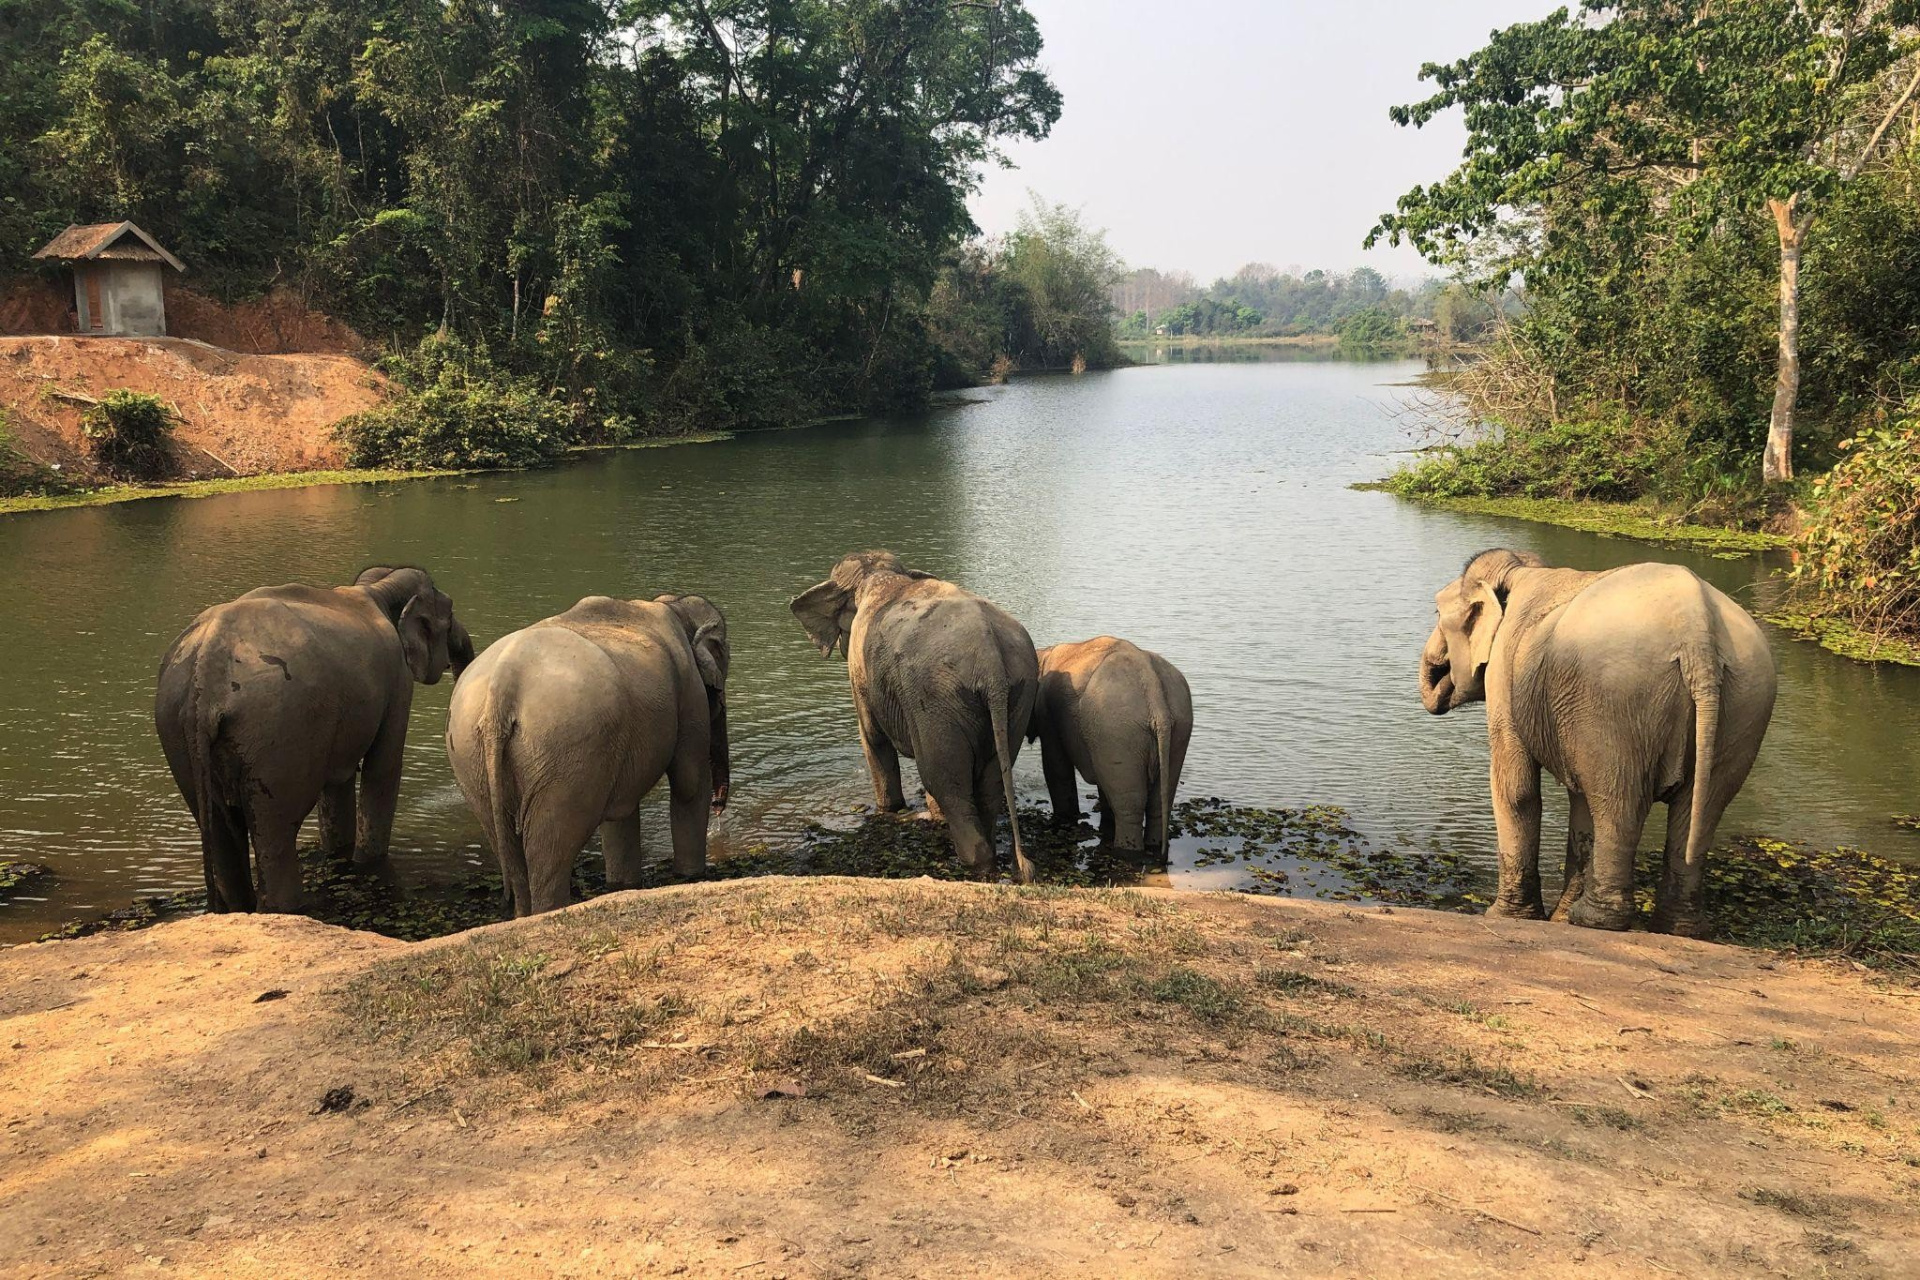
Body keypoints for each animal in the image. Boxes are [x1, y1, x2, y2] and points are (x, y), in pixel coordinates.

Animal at [154, 566, 473, 914]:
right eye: (450, 615)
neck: (378, 587)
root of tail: (205, 673)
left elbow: (339, 781)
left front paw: (340, 853)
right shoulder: (398, 679)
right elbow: (383, 768)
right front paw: (367, 863)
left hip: (179, 733)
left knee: (223, 832)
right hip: (277, 733)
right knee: (277, 829)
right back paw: (289, 909)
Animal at [445, 593, 729, 917]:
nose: (719, 810)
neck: (670, 603)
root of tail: (502, 689)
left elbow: (622, 811)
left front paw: (623, 885)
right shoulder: (689, 690)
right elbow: (689, 784)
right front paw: (691, 876)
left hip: (471, 755)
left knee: (511, 847)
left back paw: (523, 915)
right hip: (562, 755)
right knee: (551, 850)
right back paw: (549, 910)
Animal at [791, 551, 1038, 882]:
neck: (883, 576)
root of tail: (991, 661)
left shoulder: (861, 674)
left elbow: (873, 739)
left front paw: (889, 810)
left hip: (936, 699)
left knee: (946, 782)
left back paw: (966, 859)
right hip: (1016, 698)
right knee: (991, 781)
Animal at [1030, 637, 1193, 856]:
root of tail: (1154, 691)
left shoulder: (1047, 713)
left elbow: (1056, 766)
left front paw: (1066, 817)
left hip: (1118, 728)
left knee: (1130, 808)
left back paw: (1126, 851)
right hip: (1177, 726)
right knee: (1158, 803)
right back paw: (1153, 848)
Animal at [1419, 549, 1776, 935]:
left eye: (1436, 613)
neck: (1520, 569)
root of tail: (1697, 629)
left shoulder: (1505, 671)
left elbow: (1517, 788)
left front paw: (1506, 917)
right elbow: (1579, 798)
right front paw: (1556, 919)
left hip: (1616, 700)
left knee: (1617, 801)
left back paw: (1594, 920)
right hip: (1745, 700)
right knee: (1703, 806)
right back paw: (1677, 928)